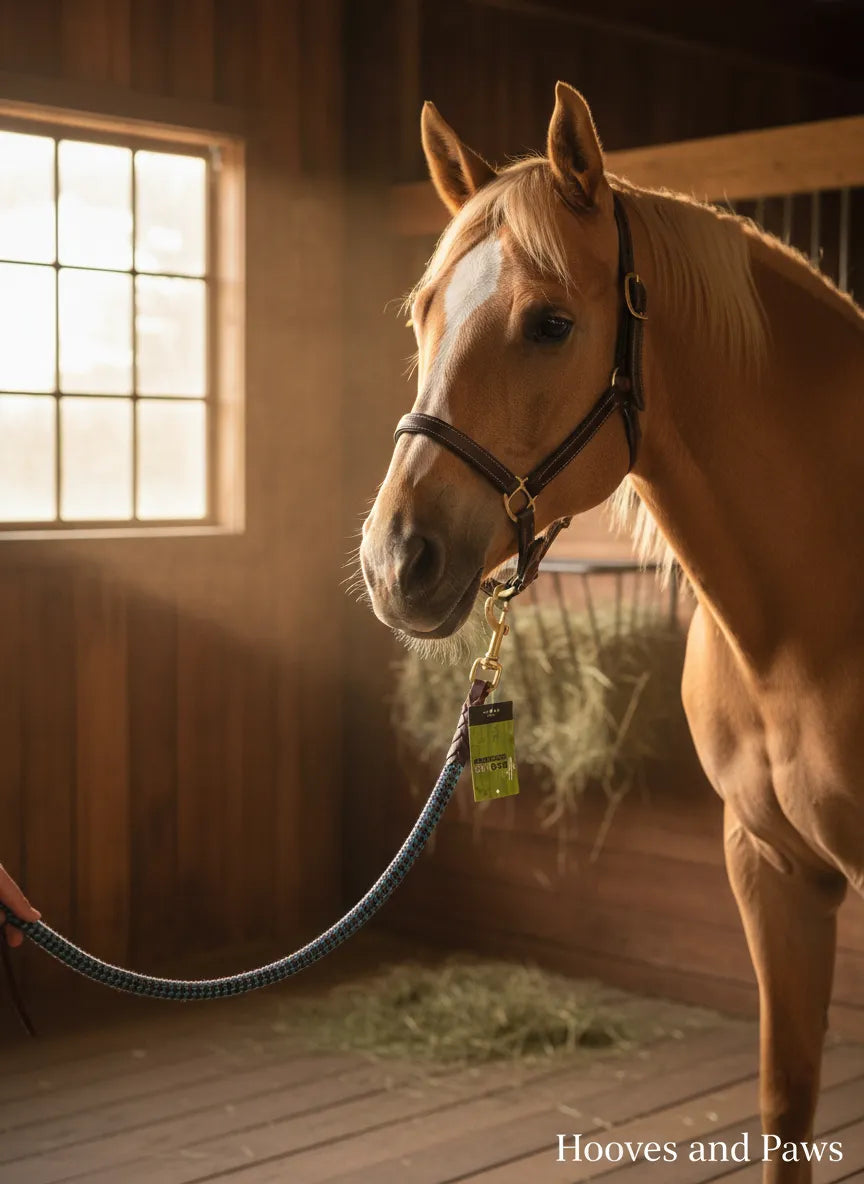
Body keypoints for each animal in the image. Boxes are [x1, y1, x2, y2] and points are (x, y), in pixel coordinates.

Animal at [359, 82, 864, 1182]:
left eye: (551, 323)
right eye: (422, 314)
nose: (395, 561)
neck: (807, 628)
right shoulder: (772, 868)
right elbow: (786, 1104)